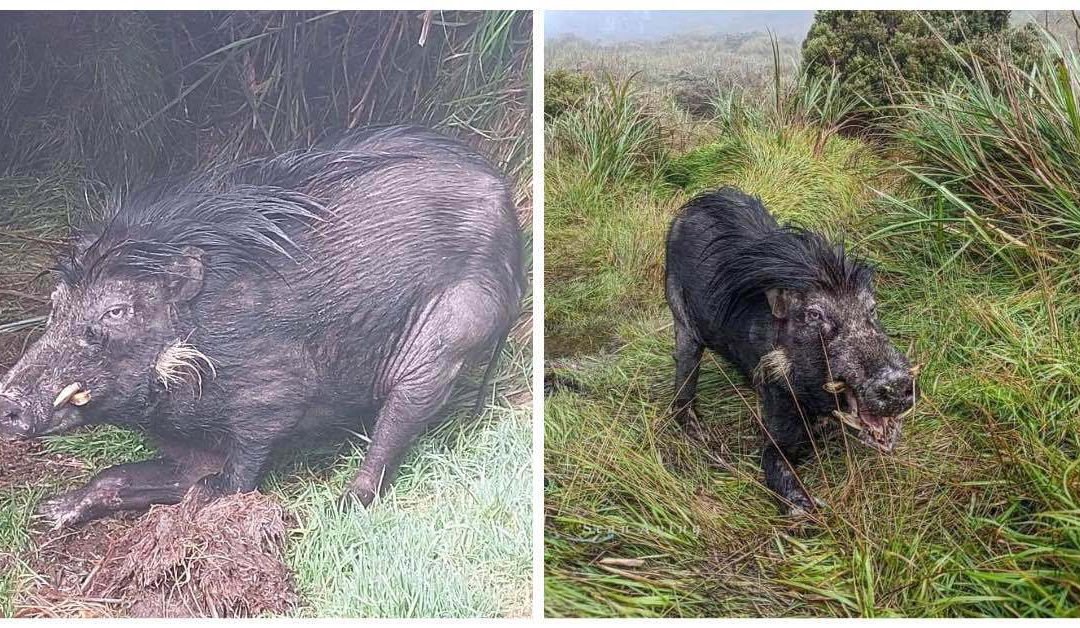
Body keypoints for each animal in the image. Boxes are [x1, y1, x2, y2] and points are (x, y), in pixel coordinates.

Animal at [0, 125, 524, 527]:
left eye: (117, 311)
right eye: (55, 303)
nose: (8, 403)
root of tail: (509, 207)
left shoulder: (269, 401)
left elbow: (232, 481)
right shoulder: (191, 440)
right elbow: (120, 475)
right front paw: (50, 512)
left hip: (445, 343)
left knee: (396, 428)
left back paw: (340, 507)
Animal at [665, 187, 915, 516]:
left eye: (871, 309)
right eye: (814, 315)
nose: (896, 381)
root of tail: (693, 204)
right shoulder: (776, 420)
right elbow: (775, 464)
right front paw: (811, 510)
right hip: (680, 320)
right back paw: (699, 433)